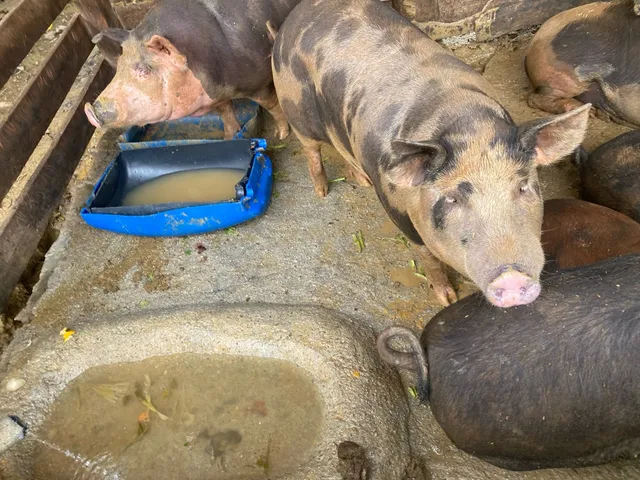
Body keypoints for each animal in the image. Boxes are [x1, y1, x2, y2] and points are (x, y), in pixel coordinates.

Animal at [84, 0, 300, 140]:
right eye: (119, 65)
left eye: (144, 70)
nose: (91, 110)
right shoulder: (217, 95)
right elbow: (225, 111)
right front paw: (228, 137)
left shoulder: (257, 84)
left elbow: (273, 106)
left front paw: (281, 136)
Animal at [272, 0, 589, 308]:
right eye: (452, 198)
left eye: (523, 186)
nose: (511, 277)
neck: (466, 123)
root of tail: (295, 15)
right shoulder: (398, 213)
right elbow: (427, 257)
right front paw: (447, 298)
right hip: (295, 107)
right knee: (312, 149)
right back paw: (322, 191)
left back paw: (360, 180)